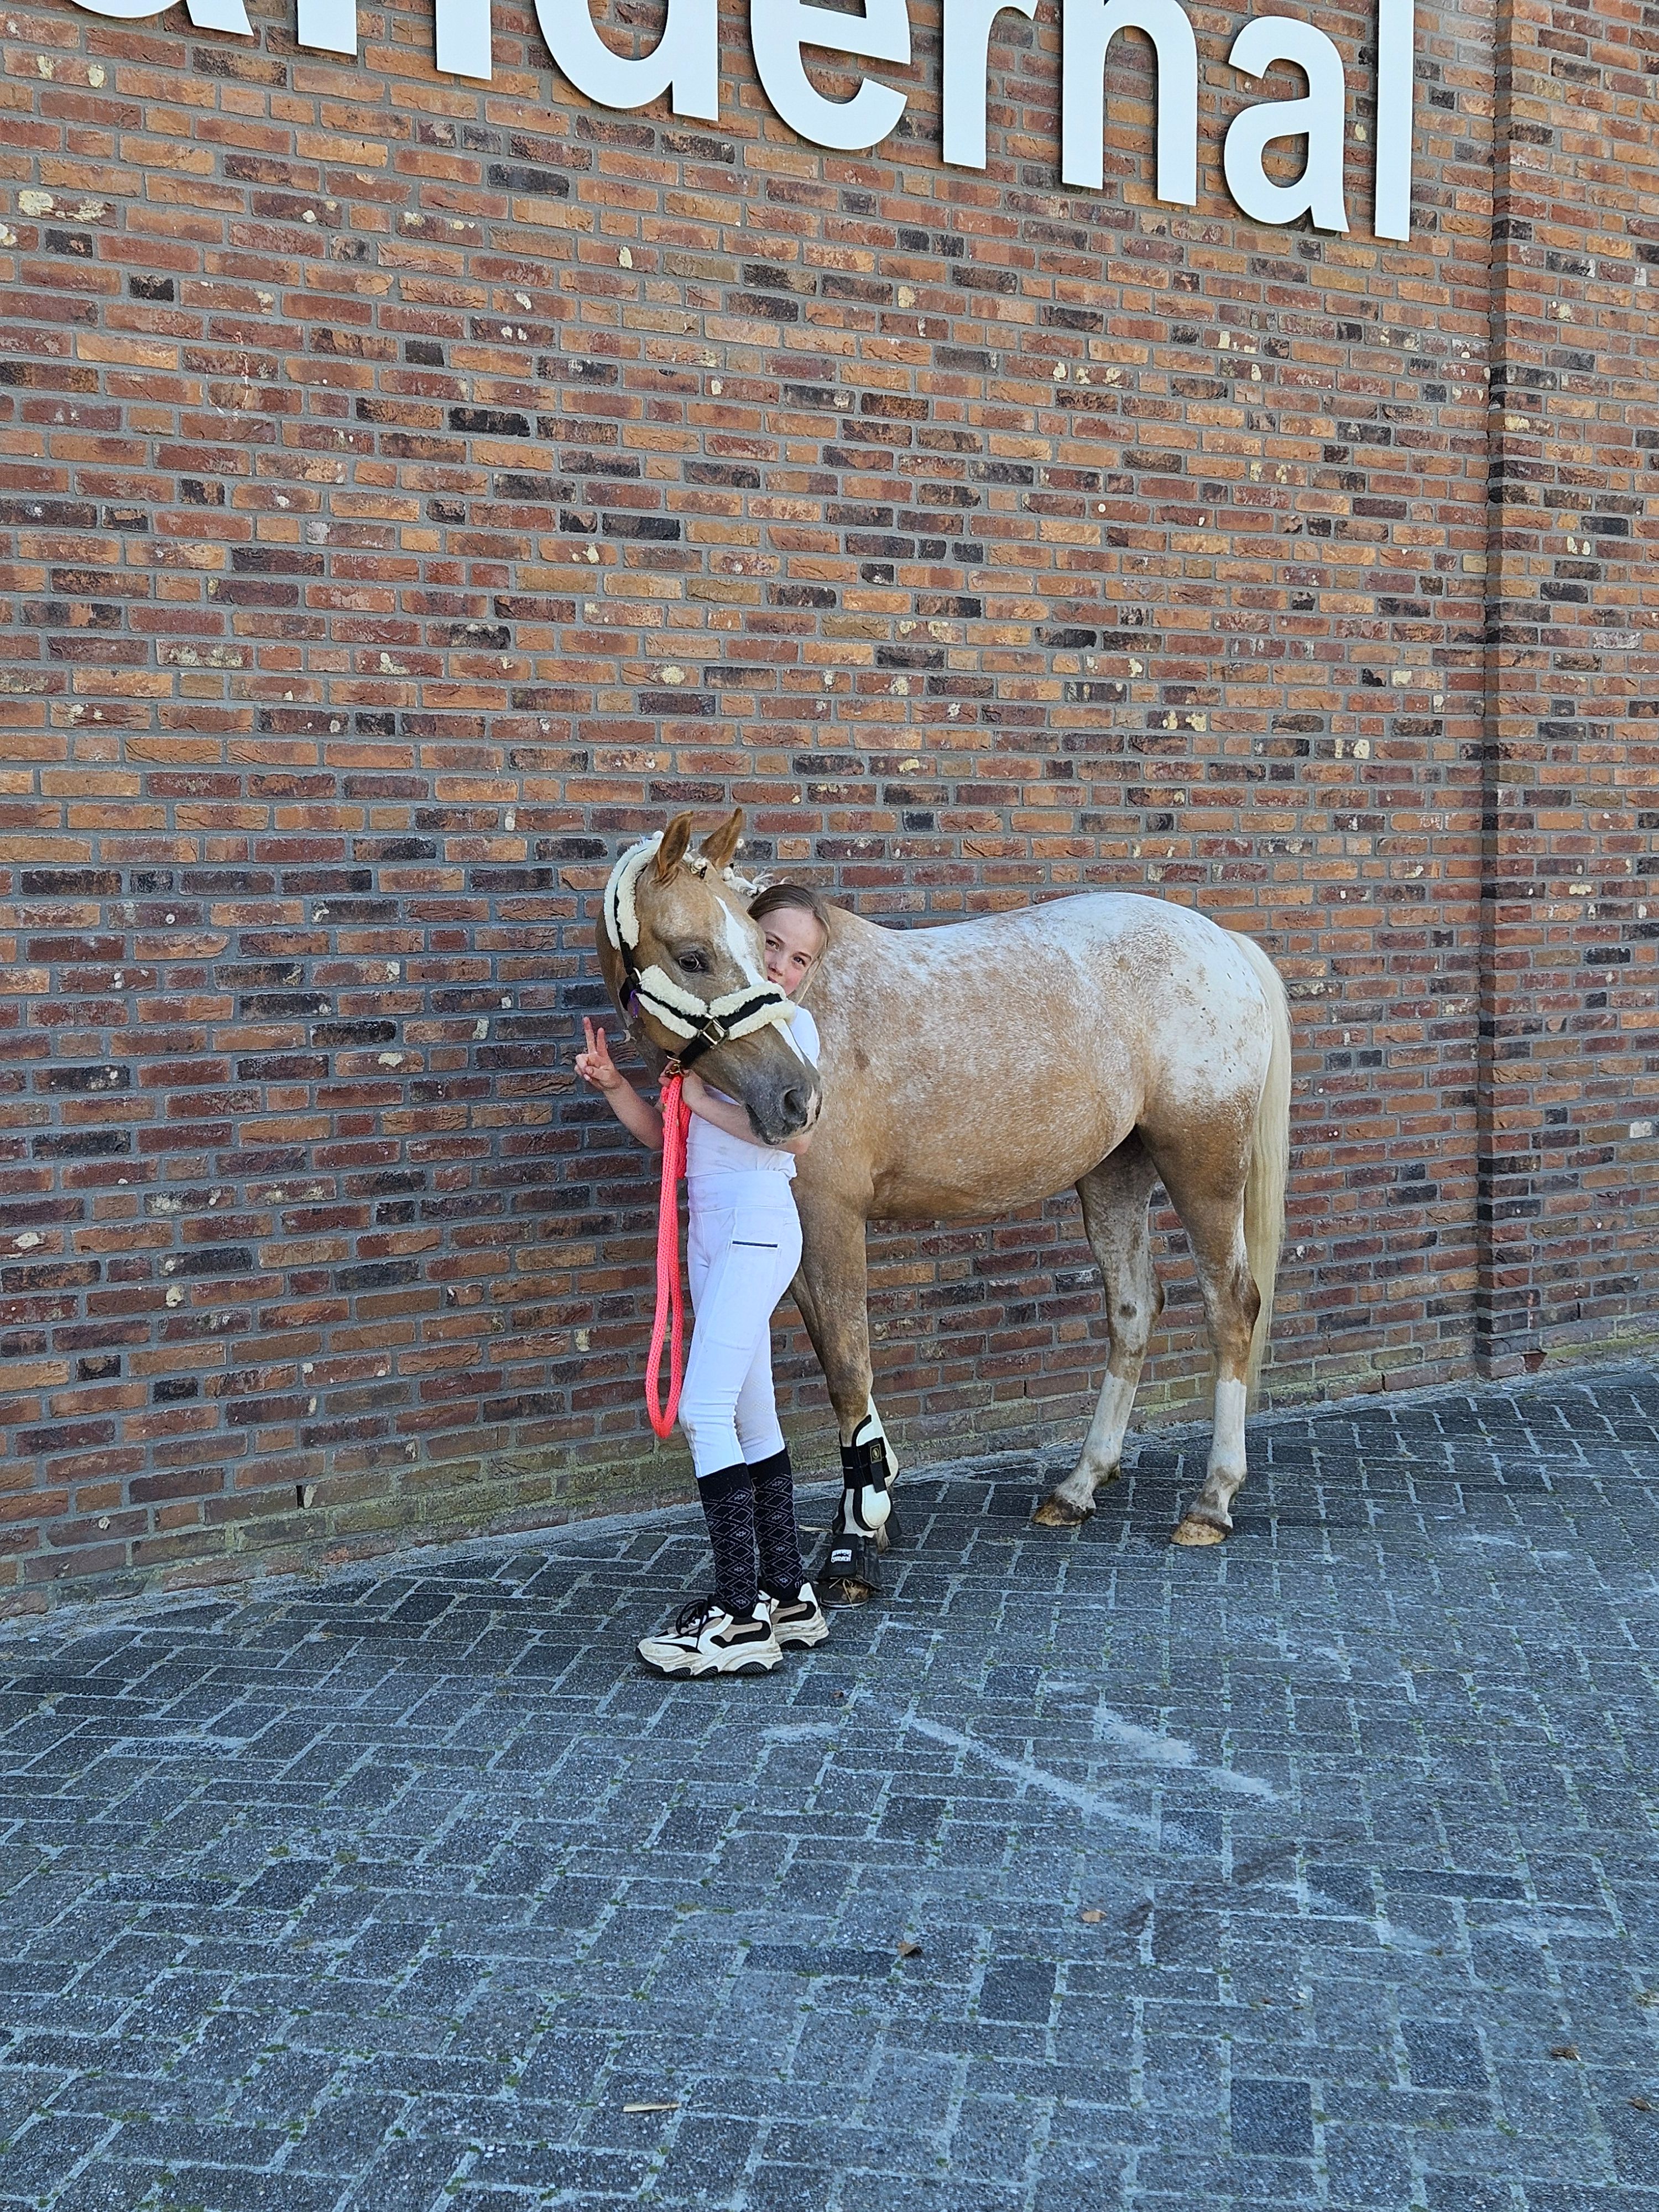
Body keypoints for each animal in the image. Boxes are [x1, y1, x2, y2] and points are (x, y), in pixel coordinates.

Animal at [595, 810, 1292, 1595]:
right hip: (1113, 1174)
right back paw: (1078, 1486)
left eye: (754, 945)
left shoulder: (833, 1217)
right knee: (1134, 1309)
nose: (797, 1100)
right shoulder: (801, 1231)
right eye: (694, 956)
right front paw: (872, 1505)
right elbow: (838, 1362)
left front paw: (856, 1538)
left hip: (1204, 1165)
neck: (815, 1003)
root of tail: (1224, 944)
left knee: (1231, 1307)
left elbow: (848, 1371)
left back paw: (1212, 1500)